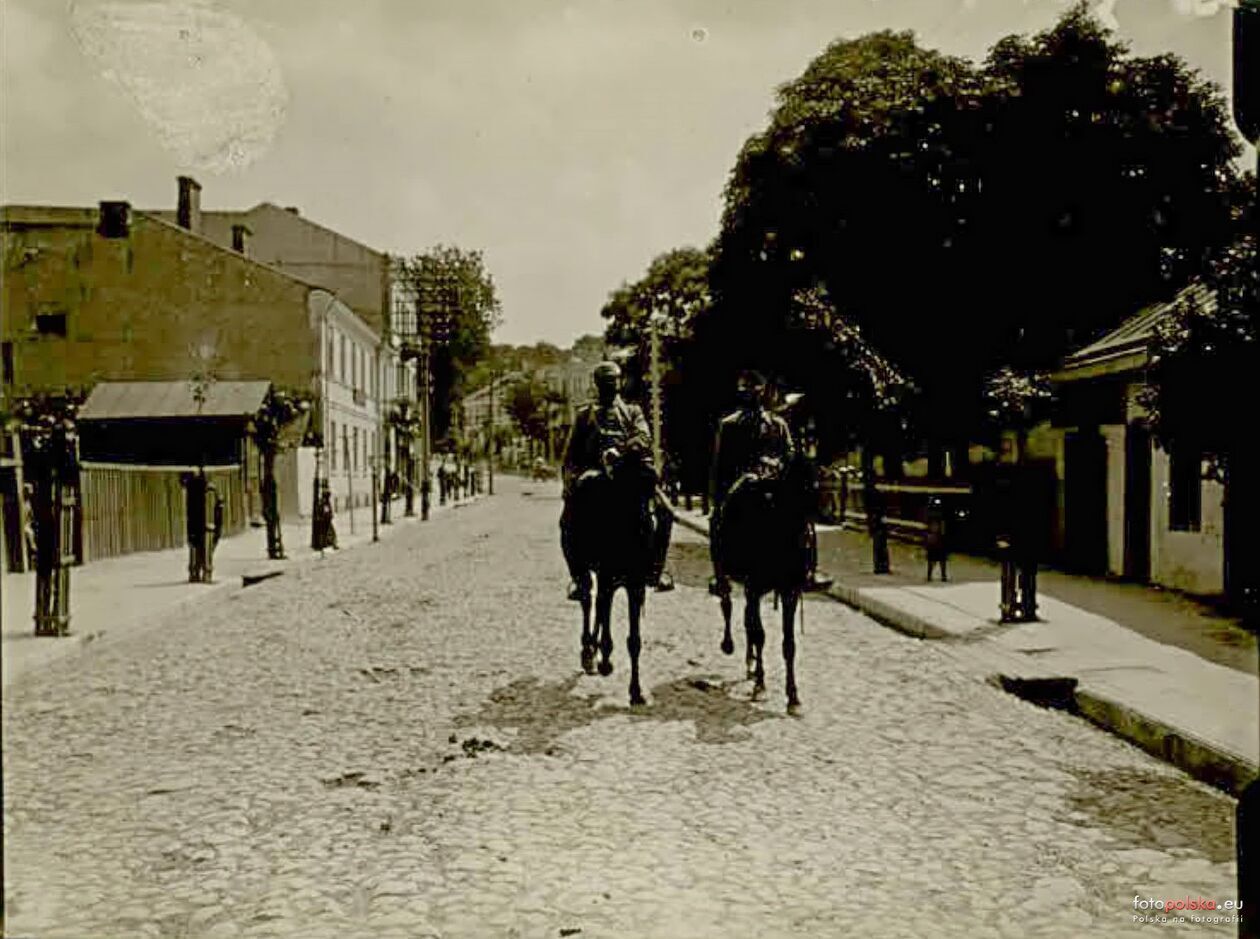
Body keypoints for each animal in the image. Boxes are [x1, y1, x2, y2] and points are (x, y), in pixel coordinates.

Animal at [564, 446, 655, 705]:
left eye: (652, 486)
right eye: (626, 484)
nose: (643, 530)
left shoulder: (636, 585)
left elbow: (634, 640)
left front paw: (636, 691)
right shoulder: (606, 577)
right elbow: (602, 612)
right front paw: (604, 659)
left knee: (598, 606)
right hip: (583, 568)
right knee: (588, 599)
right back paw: (589, 651)